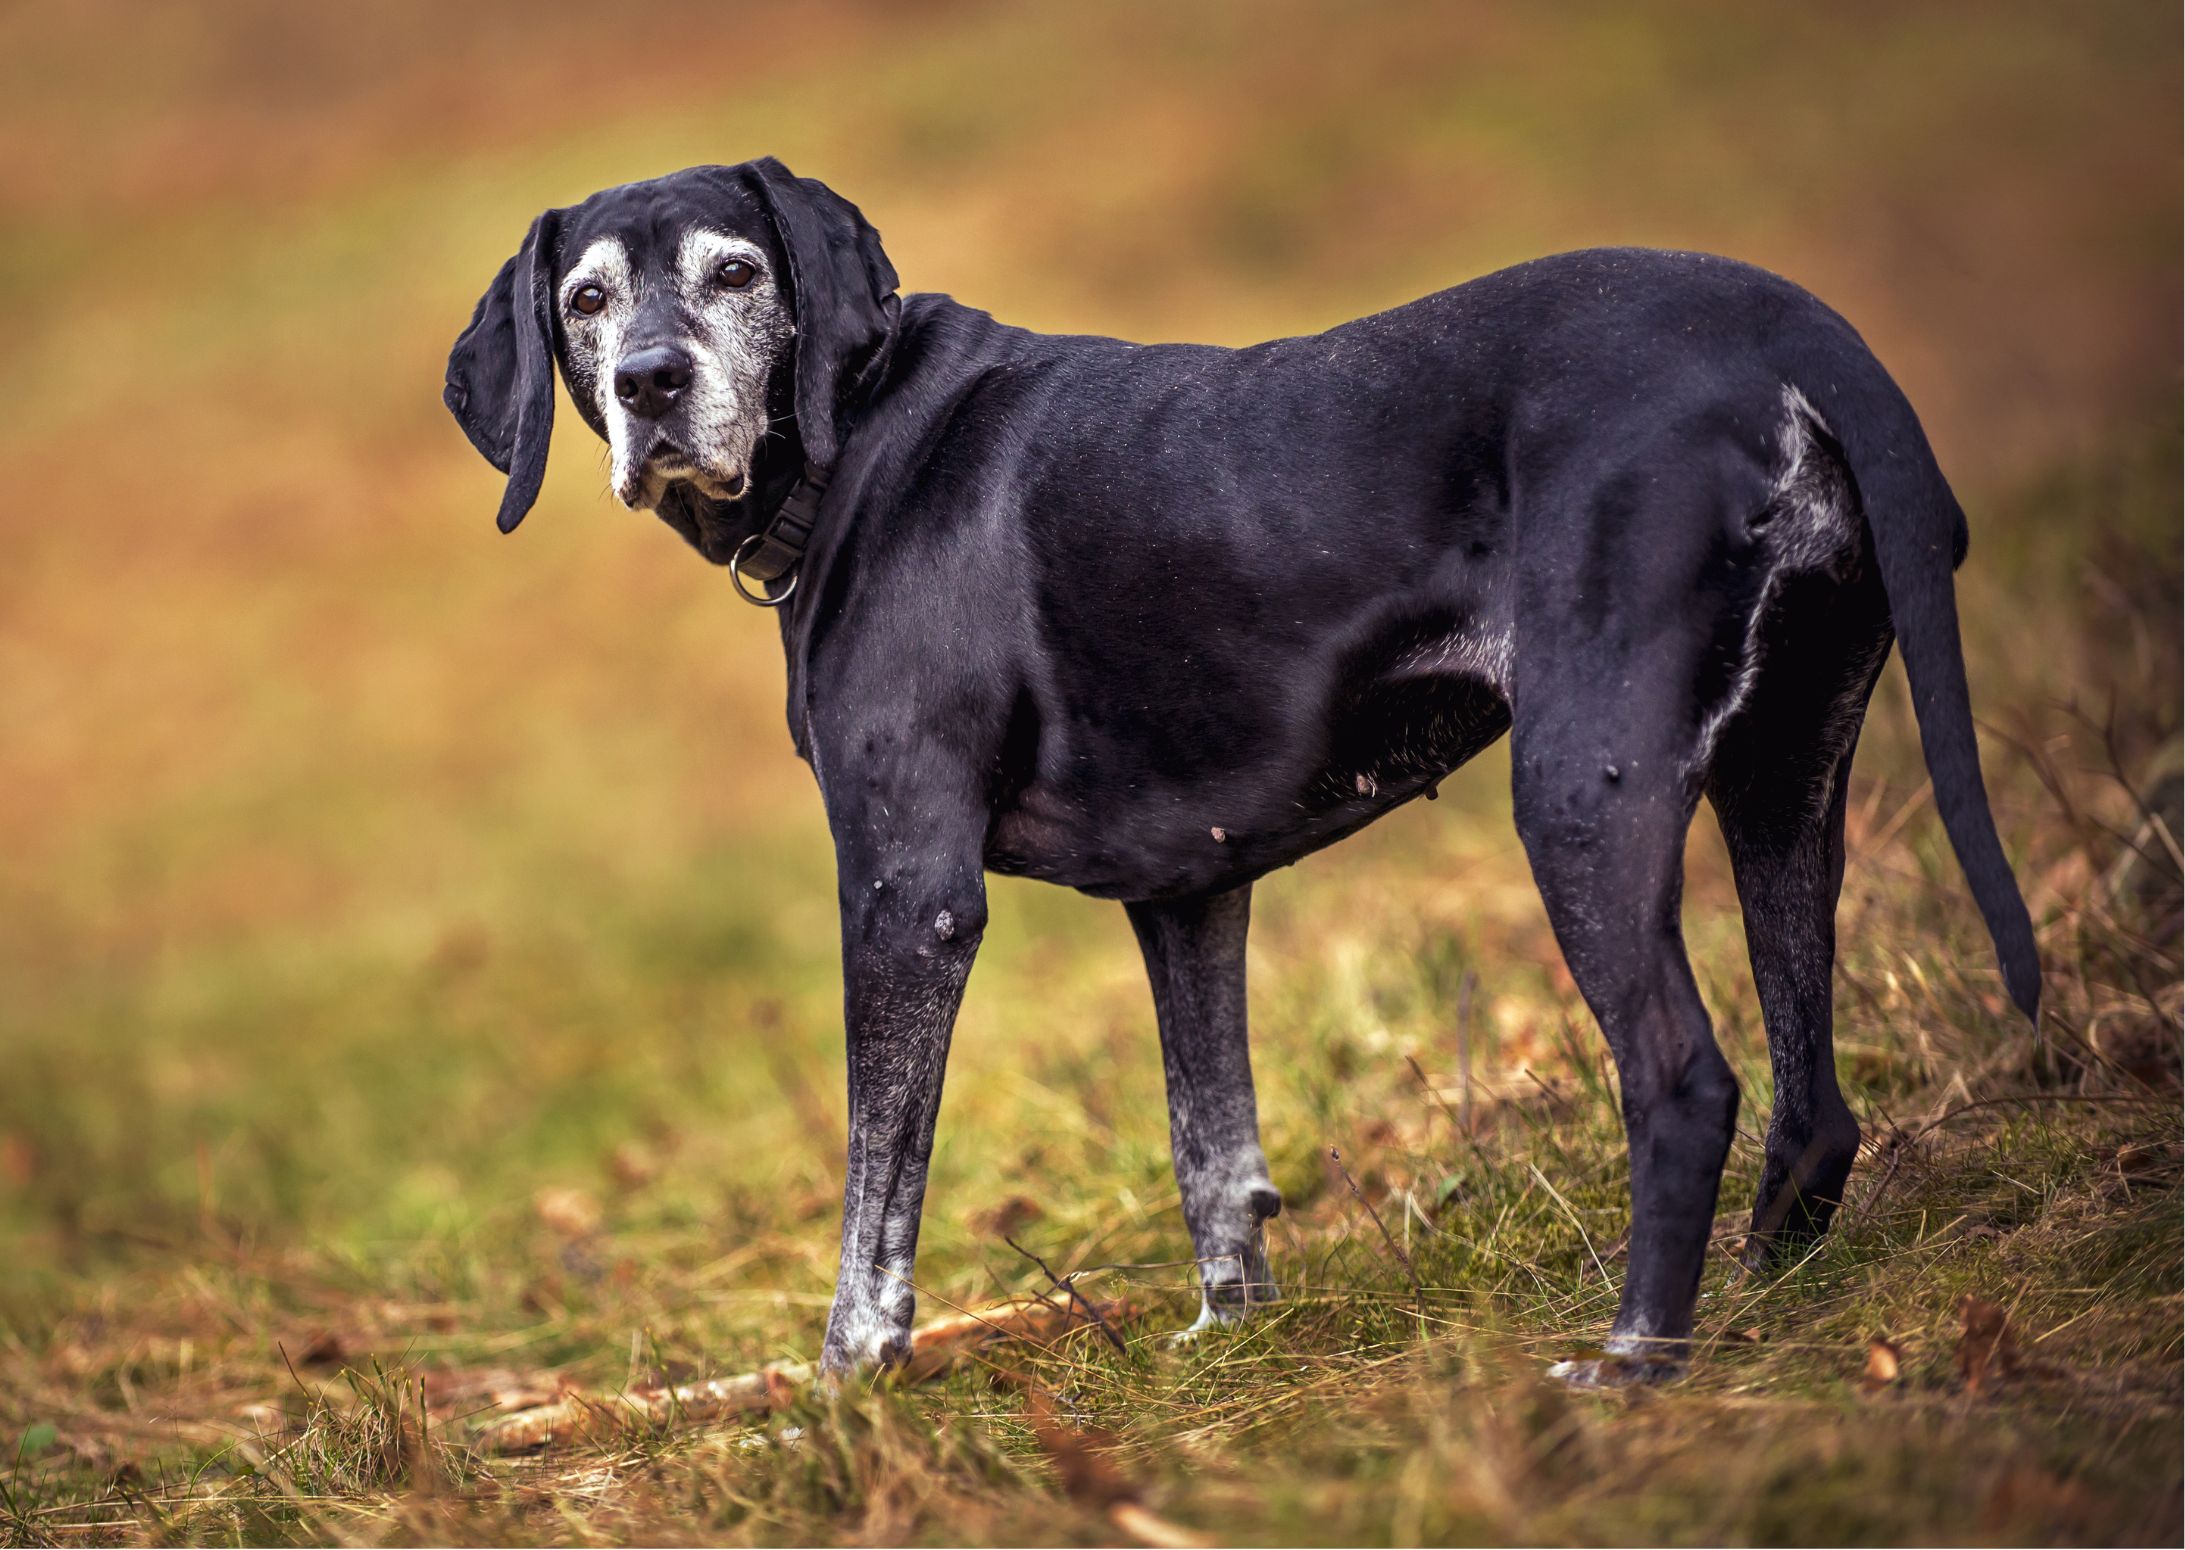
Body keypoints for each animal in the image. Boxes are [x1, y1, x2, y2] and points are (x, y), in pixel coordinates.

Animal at [447, 162, 2045, 1381]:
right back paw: (1763, 1285)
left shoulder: (909, 894)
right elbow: (1209, 1140)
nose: (651, 383)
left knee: (1683, 1079)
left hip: (1582, 787)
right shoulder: (1188, 891)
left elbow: (875, 1191)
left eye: (733, 273)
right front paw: (1232, 1333)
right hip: (1785, 771)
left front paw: (845, 1383)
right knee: (1809, 1091)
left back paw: (1633, 1357)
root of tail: (1787, 325)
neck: (859, 437)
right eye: (586, 301)